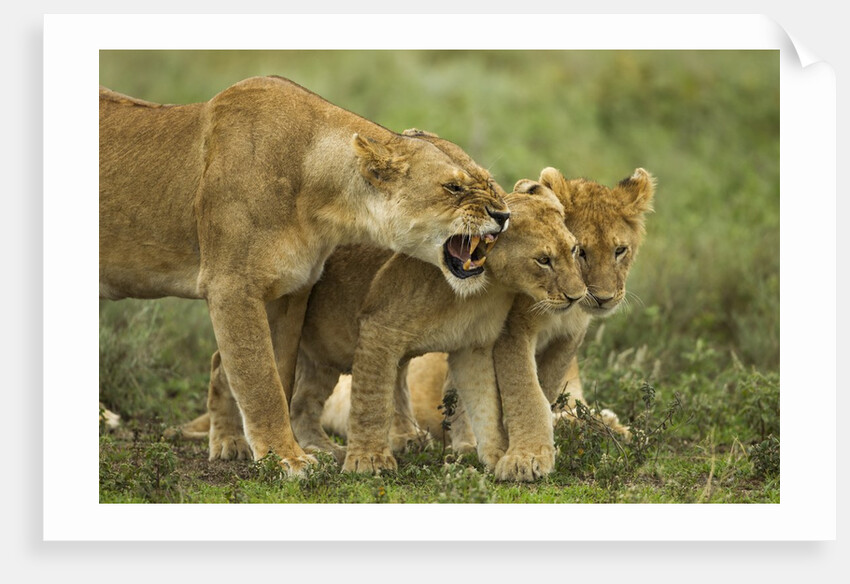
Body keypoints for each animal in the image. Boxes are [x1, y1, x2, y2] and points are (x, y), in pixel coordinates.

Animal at [99, 76, 510, 474]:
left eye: (488, 183)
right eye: (453, 187)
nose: (503, 215)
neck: (321, 199)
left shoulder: (291, 291)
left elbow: (277, 373)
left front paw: (274, 453)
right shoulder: (230, 287)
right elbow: (260, 380)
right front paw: (287, 459)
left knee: (224, 366)